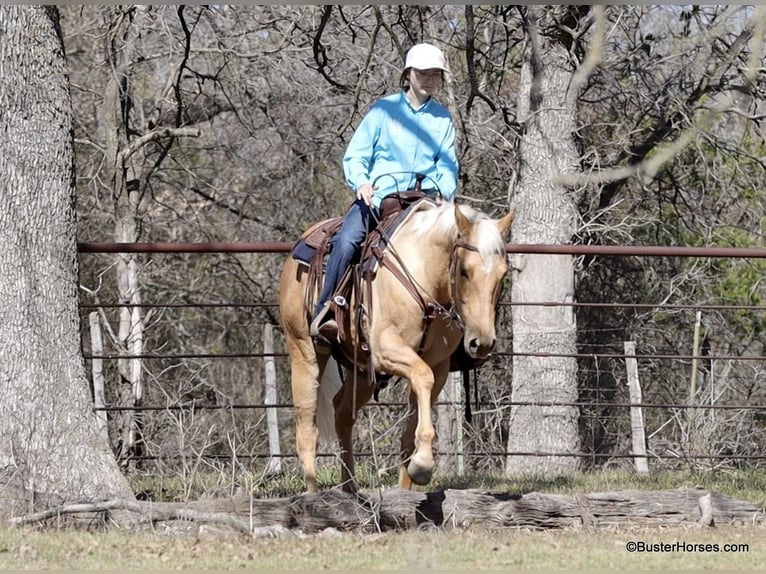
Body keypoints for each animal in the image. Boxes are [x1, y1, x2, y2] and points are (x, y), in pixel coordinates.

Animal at [278, 199, 514, 493]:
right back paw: (313, 497)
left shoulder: (438, 366)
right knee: (307, 430)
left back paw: (350, 490)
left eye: (503, 274)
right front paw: (423, 464)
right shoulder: (387, 349)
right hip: (304, 352)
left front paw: (410, 481)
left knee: (342, 411)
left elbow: (409, 434)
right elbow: (422, 376)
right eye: (464, 271)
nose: (481, 343)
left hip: (361, 368)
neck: (423, 275)